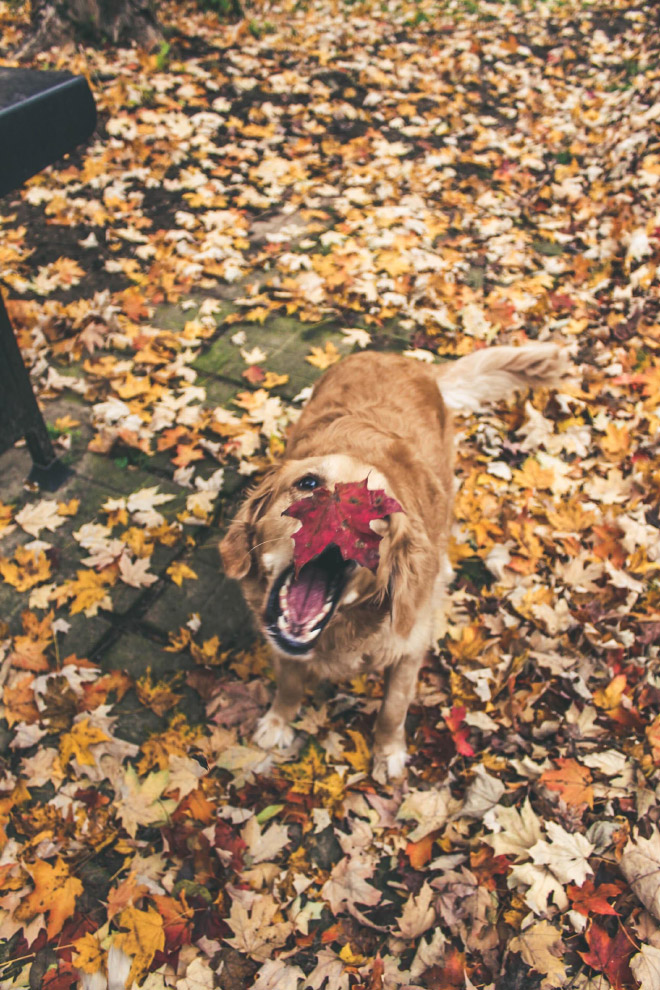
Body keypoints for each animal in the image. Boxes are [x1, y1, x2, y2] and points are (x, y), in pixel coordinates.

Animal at [219, 344, 564, 780]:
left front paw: (388, 753)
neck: (339, 634)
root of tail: (399, 357)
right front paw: (279, 720)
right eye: (308, 483)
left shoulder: (409, 649)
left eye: (379, 509)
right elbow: (290, 684)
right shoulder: (279, 639)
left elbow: (392, 710)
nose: (341, 518)